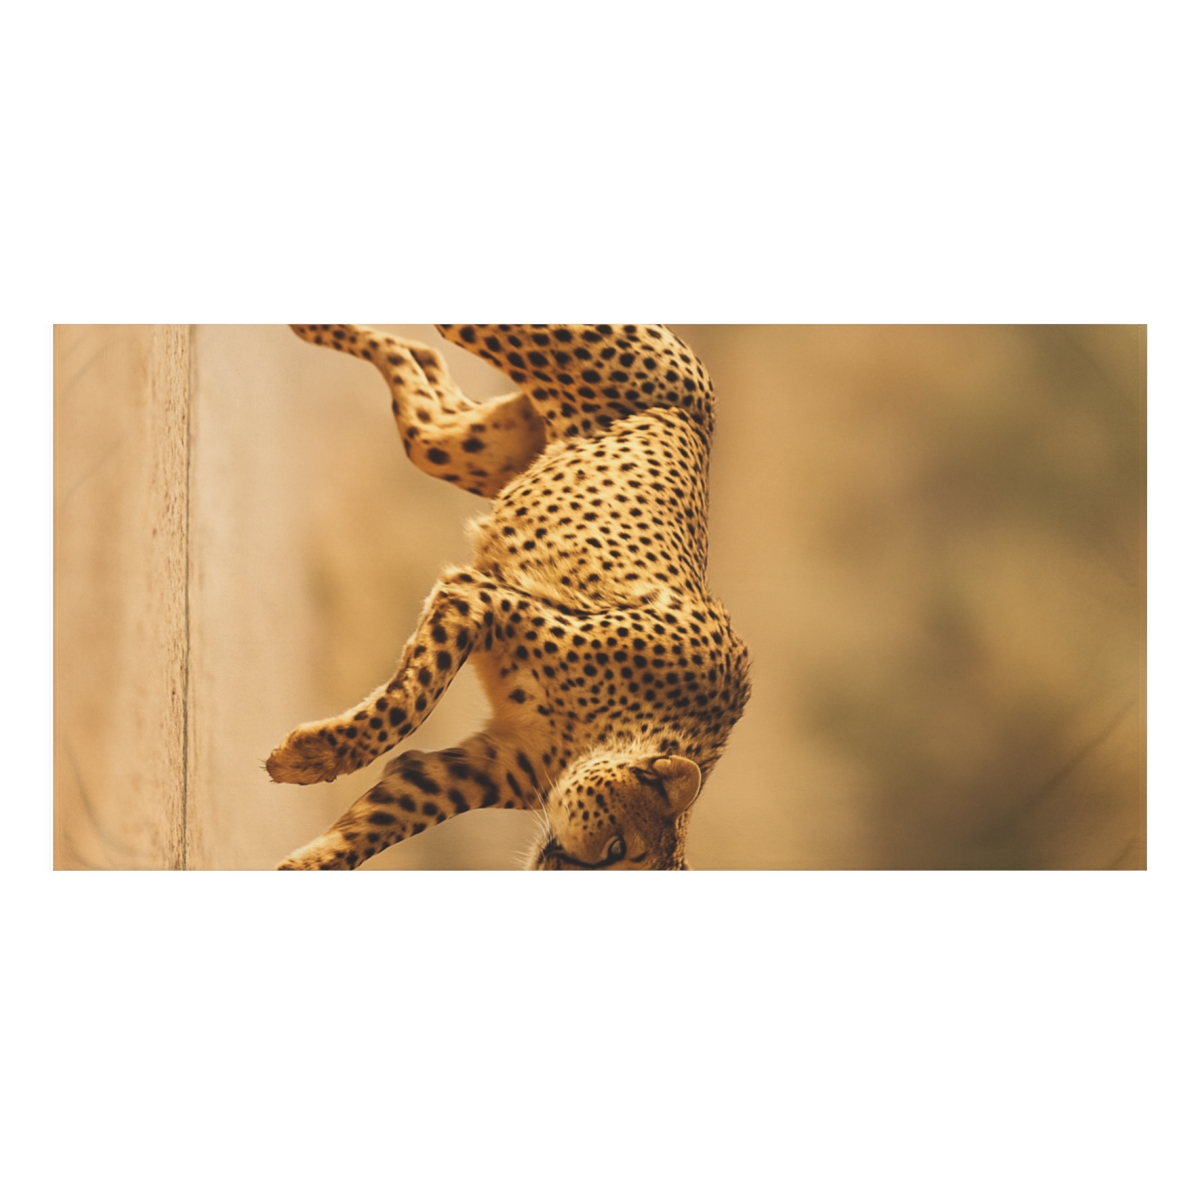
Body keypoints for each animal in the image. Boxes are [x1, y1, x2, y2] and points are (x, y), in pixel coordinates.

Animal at [267, 323, 750, 870]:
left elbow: (380, 822)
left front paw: (306, 860)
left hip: (460, 447)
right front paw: (311, 756)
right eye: (618, 845)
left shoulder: (468, 768)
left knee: (420, 364)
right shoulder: (478, 598)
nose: (557, 865)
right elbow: (409, 704)